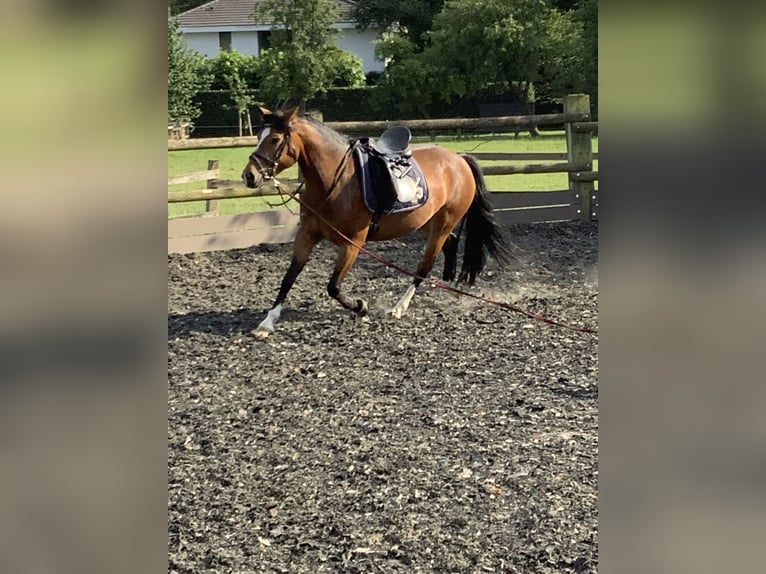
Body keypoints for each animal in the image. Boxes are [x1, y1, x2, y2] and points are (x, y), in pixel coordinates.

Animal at [243, 104, 508, 338]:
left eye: (275, 139)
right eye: (258, 136)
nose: (249, 176)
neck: (336, 182)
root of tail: (459, 159)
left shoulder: (353, 242)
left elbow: (333, 287)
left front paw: (361, 307)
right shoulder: (306, 235)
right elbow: (289, 277)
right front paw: (267, 323)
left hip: (442, 224)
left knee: (424, 266)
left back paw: (400, 307)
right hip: (427, 222)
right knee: (451, 243)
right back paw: (450, 287)